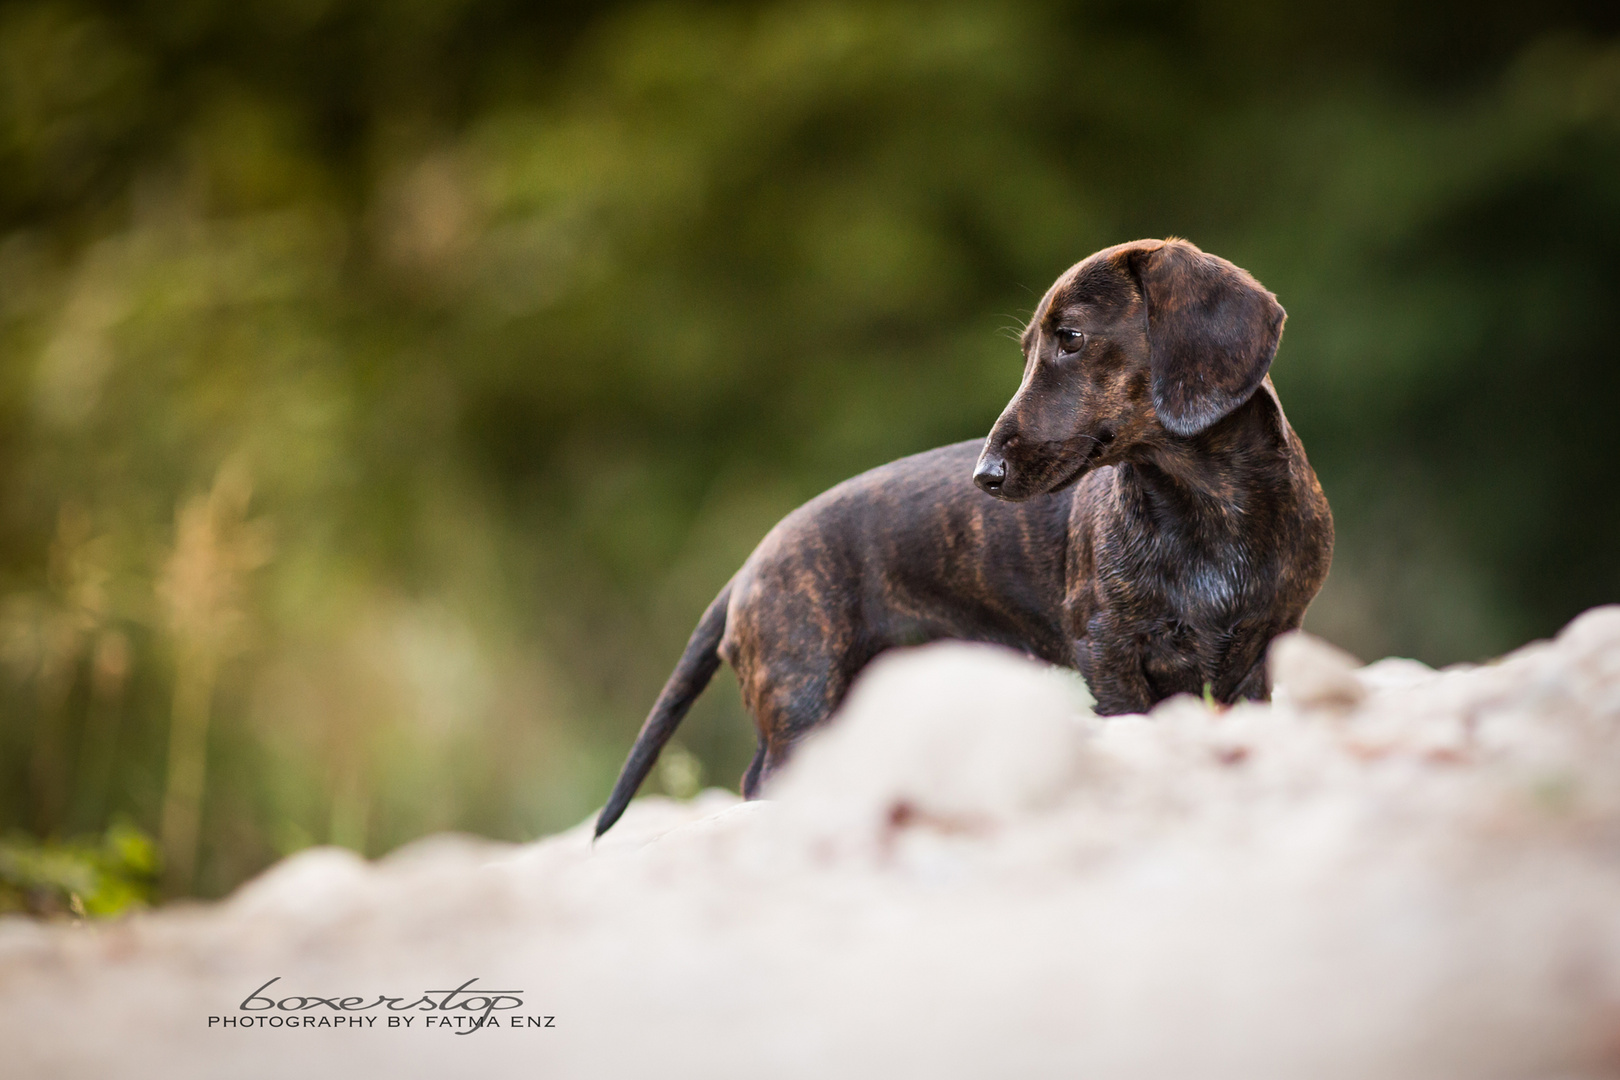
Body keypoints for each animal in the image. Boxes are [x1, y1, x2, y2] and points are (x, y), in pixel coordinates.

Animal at [596, 241, 1328, 841]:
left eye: (1071, 338)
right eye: (1032, 347)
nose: (986, 475)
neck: (1205, 503)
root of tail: (748, 567)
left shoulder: (1259, 651)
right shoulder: (1109, 649)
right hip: (801, 695)